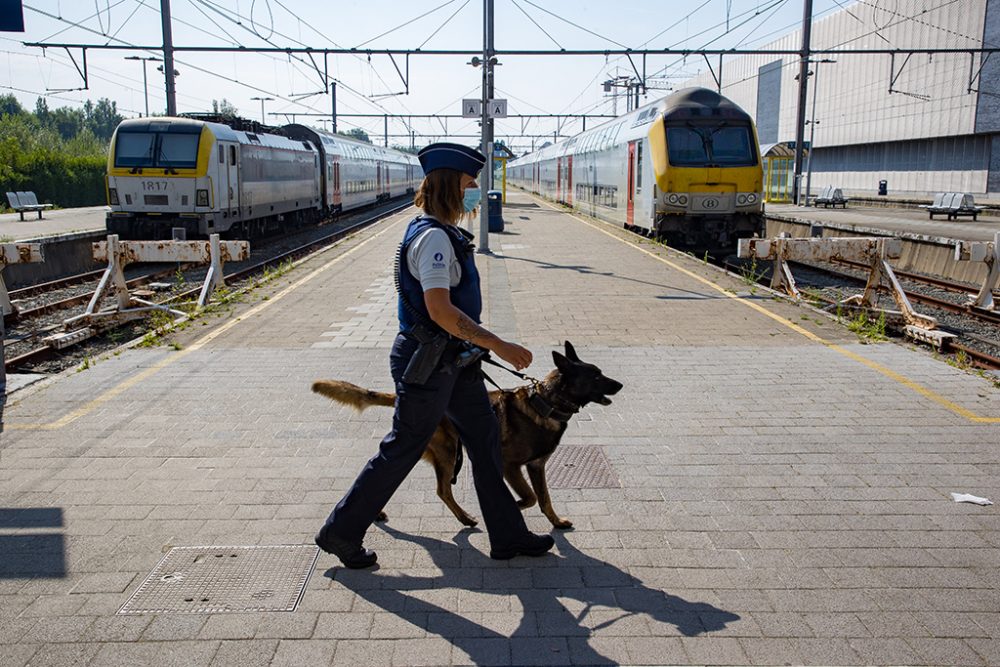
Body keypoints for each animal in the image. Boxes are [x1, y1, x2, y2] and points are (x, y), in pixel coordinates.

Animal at [314, 342, 624, 528]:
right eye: (596, 377)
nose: (620, 384)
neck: (545, 402)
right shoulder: (511, 466)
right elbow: (530, 498)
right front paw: (514, 507)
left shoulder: (536, 467)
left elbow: (545, 499)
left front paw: (556, 522)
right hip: (447, 452)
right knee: (438, 488)